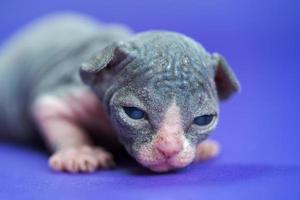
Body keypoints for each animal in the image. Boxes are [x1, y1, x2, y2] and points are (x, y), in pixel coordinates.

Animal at [0, 13, 239, 173]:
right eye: (133, 113)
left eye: (203, 119)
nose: (169, 149)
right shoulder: (68, 90)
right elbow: (54, 114)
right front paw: (79, 153)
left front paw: (202, 149)